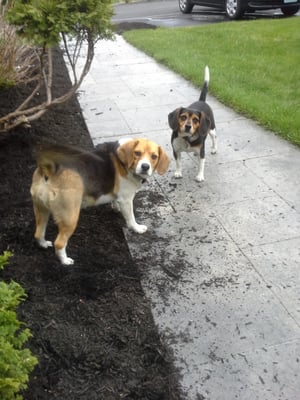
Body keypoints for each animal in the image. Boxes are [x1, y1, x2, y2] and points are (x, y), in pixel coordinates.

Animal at [31, 138, 170, 266]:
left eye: (154, 156)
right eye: (137, 153)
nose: (145, 167)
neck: (123, 161)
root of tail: (49, 169)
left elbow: (115, 201)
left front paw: (115, 207)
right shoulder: (126, 200)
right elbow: (131, 219)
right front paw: (137, 228)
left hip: (41, 210)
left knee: (38, 233)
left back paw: (43, 244)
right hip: (70, 217)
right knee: (59, 243)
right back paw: (65, 261)